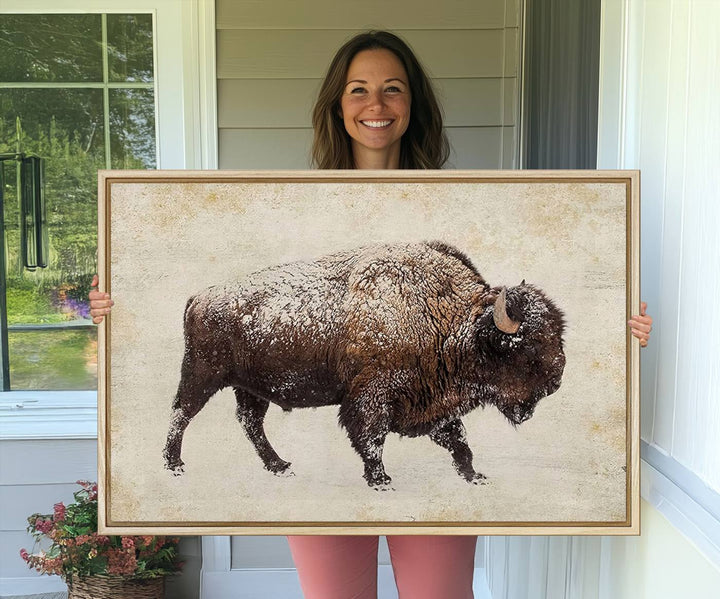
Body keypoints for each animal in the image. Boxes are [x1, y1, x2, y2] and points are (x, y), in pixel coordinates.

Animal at [163, 240, 568, 488]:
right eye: (526, 347)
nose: (556, 380)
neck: (449, 320)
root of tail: (199, 297)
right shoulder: (372, 395)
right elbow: (371, 437)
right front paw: (380, 480)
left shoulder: (434, 403)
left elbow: (459, 441)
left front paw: (474, 475)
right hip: (202, 375)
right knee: (181, 413)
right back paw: (174, 465)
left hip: (250, 387)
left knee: (250, 424)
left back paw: (280, 467)